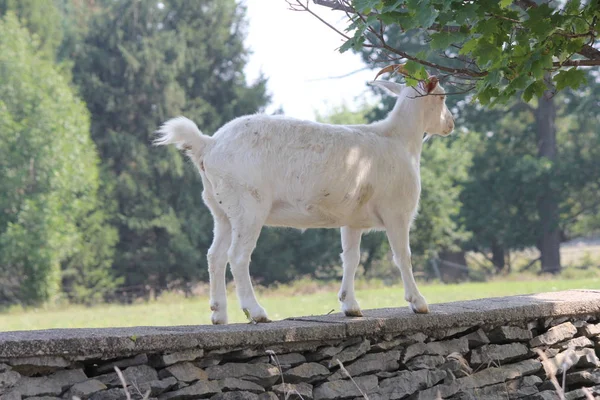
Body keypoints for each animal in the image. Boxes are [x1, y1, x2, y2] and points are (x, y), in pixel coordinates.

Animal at [155, 65, 454, 322]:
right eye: (441, 97)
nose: (450, 123)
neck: (399, 140)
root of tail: (208, 144)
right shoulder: (397, 212)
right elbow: (403, 256)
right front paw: (418, 302)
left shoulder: (352, 219)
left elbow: (351, 259)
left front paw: (350, 305)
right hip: (248, 204)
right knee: (237, 256)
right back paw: (256, 312)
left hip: (221, 209)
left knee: (214, 256)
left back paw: (219, 314)